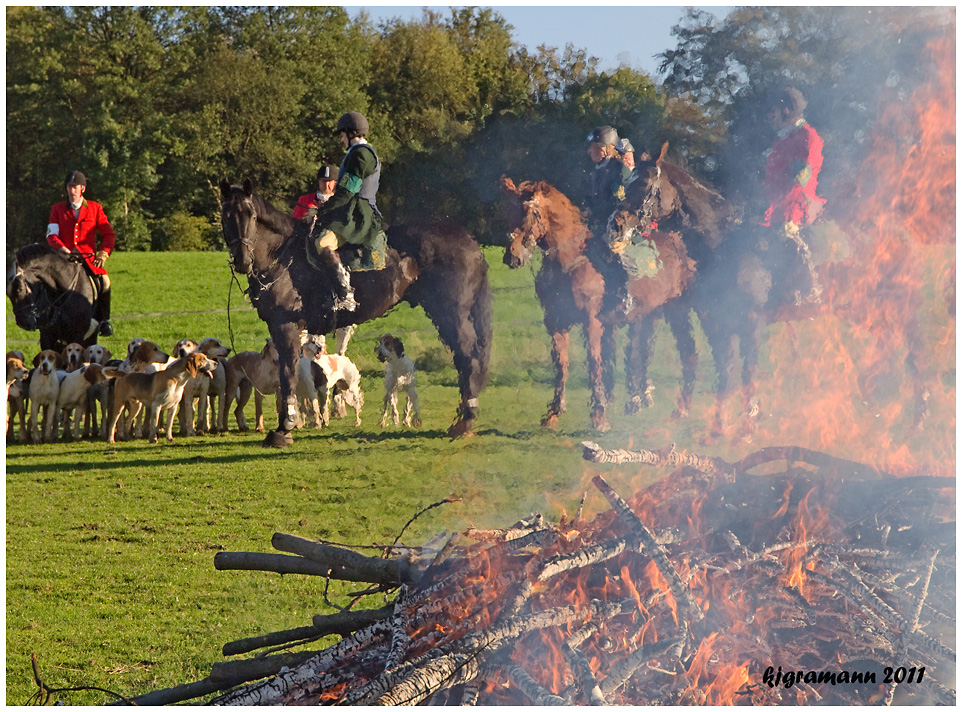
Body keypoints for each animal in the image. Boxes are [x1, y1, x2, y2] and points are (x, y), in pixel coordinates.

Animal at [218, 178, 488, 444]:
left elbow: (288, 375)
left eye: (252, 215)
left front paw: (284, 428)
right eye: (226, 215)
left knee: (468, 358)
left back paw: (465, 420)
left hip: (452, 314)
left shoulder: (285, 327)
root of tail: (468, 241)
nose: (242, 260)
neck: (283, 257)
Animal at [498, 175, 692, 432]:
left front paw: (599, 416)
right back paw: (639, 398)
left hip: (669, 309)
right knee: (641, 350)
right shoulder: (555, 322)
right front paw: (554, 412)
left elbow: (594, 363)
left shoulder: (592, 322)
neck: (567, 261)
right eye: (508, 212)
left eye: (529, 213)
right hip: (647, 314)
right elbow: (562, 365)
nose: (513, 257)